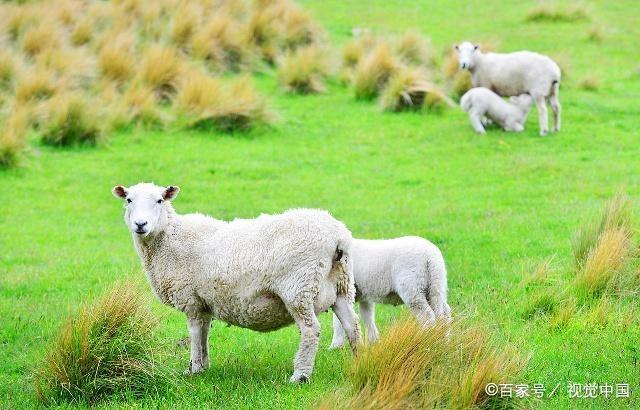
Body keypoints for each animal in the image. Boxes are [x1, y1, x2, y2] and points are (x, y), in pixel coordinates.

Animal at [110, 182, 360, 382]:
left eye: (160, 200)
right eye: (129, 200)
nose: (140, 224)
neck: (170, 238)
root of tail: (338, 237)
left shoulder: (190, 299)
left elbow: (194, 333)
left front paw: (193, 369)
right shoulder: (204, 301)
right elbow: (204, 333)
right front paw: (203, 366)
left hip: (299, 287)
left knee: (311, 330)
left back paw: (300, 376)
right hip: (342, 286)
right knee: (353, 326)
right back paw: (361, 362)